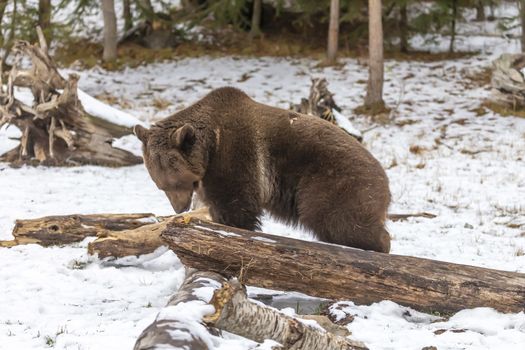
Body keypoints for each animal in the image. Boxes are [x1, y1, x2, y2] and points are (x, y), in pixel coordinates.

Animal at [133, 86, 390, 253]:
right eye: (161, 185)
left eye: (179, 182)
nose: (180, 208)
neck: (210, 145)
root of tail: (385, 180)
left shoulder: (235, 155)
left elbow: (237, 203)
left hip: (334, 183)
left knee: (339, 220)